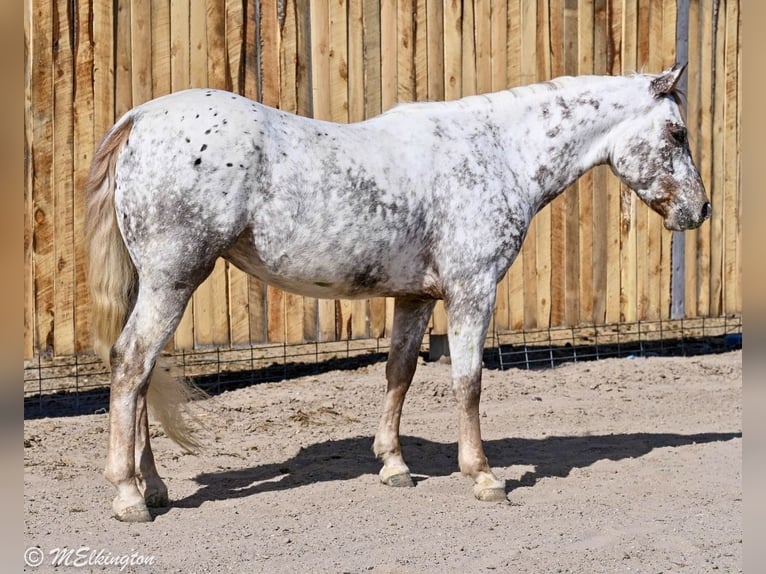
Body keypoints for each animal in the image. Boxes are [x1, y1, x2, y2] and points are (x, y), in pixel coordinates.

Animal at [85, 63, 710, 522]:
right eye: (677, 133)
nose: (699, 210)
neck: (496, 153)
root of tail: (139, 118)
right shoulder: (472, 291)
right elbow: (468, 383)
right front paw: (484, 477)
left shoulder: (417, 298)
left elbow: (399, 374)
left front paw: (393, 466)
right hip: (174, 280)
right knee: (131, 365)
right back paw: (129, 496)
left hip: (155, 284)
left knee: (142, 375)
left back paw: (153, 486)